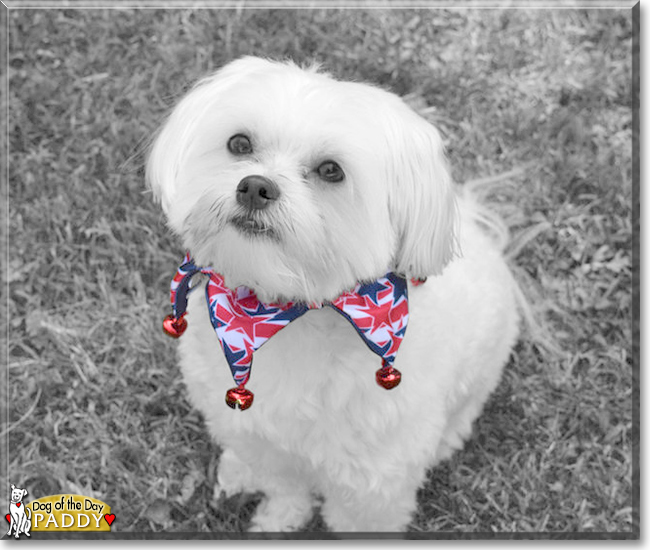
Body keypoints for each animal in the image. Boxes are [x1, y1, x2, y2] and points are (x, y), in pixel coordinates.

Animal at [146, 57, 516, 536]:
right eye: (240, 143)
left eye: (330, 171)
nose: (254, 186)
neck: (282, 312)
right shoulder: (261, 439)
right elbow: (284, 486)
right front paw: (278, 519)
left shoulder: (373, 481)